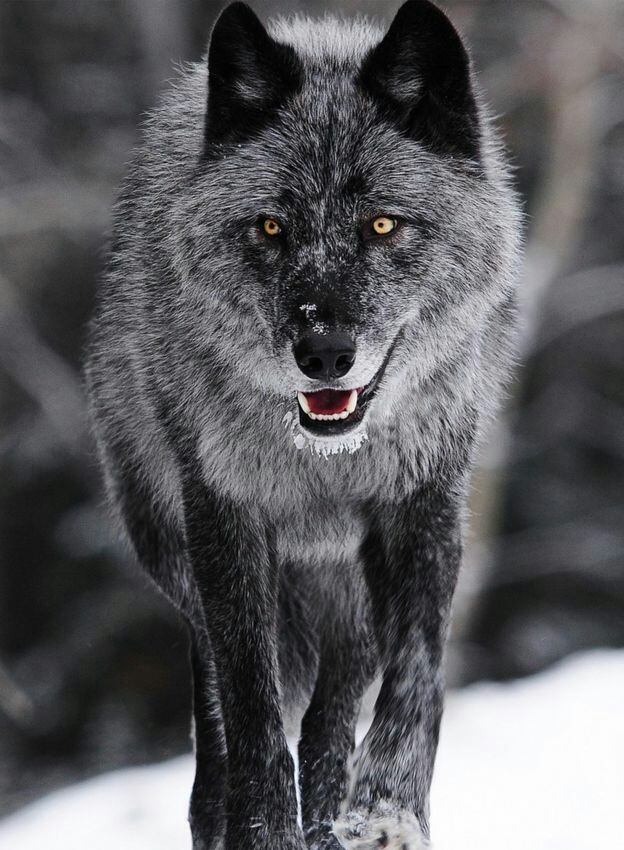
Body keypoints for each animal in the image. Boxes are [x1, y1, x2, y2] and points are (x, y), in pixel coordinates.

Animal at [85, 1, 522, 848]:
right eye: (271, 227)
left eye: (382, 225)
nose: (323, 352)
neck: (324, 460)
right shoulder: (226, 522)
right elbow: (252, 710)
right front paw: (262, 831)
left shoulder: (423, 508)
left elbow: (419, 671)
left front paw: (386, 809)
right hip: (178, 556)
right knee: (230, 730)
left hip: (344, 595)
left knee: (331, 713)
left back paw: (331, 815)